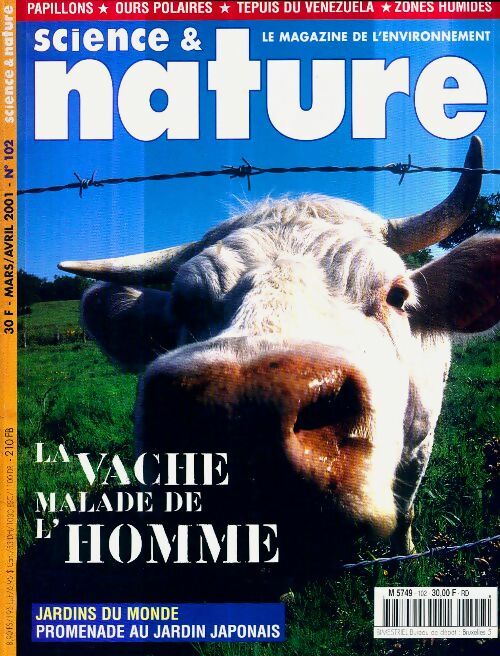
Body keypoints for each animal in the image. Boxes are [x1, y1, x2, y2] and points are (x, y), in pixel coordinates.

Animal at [59, 136, 499, 566]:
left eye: (397, 295)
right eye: (183, 305)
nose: (244, 412)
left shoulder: (422, 443)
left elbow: (405, 509)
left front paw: (402, 556)